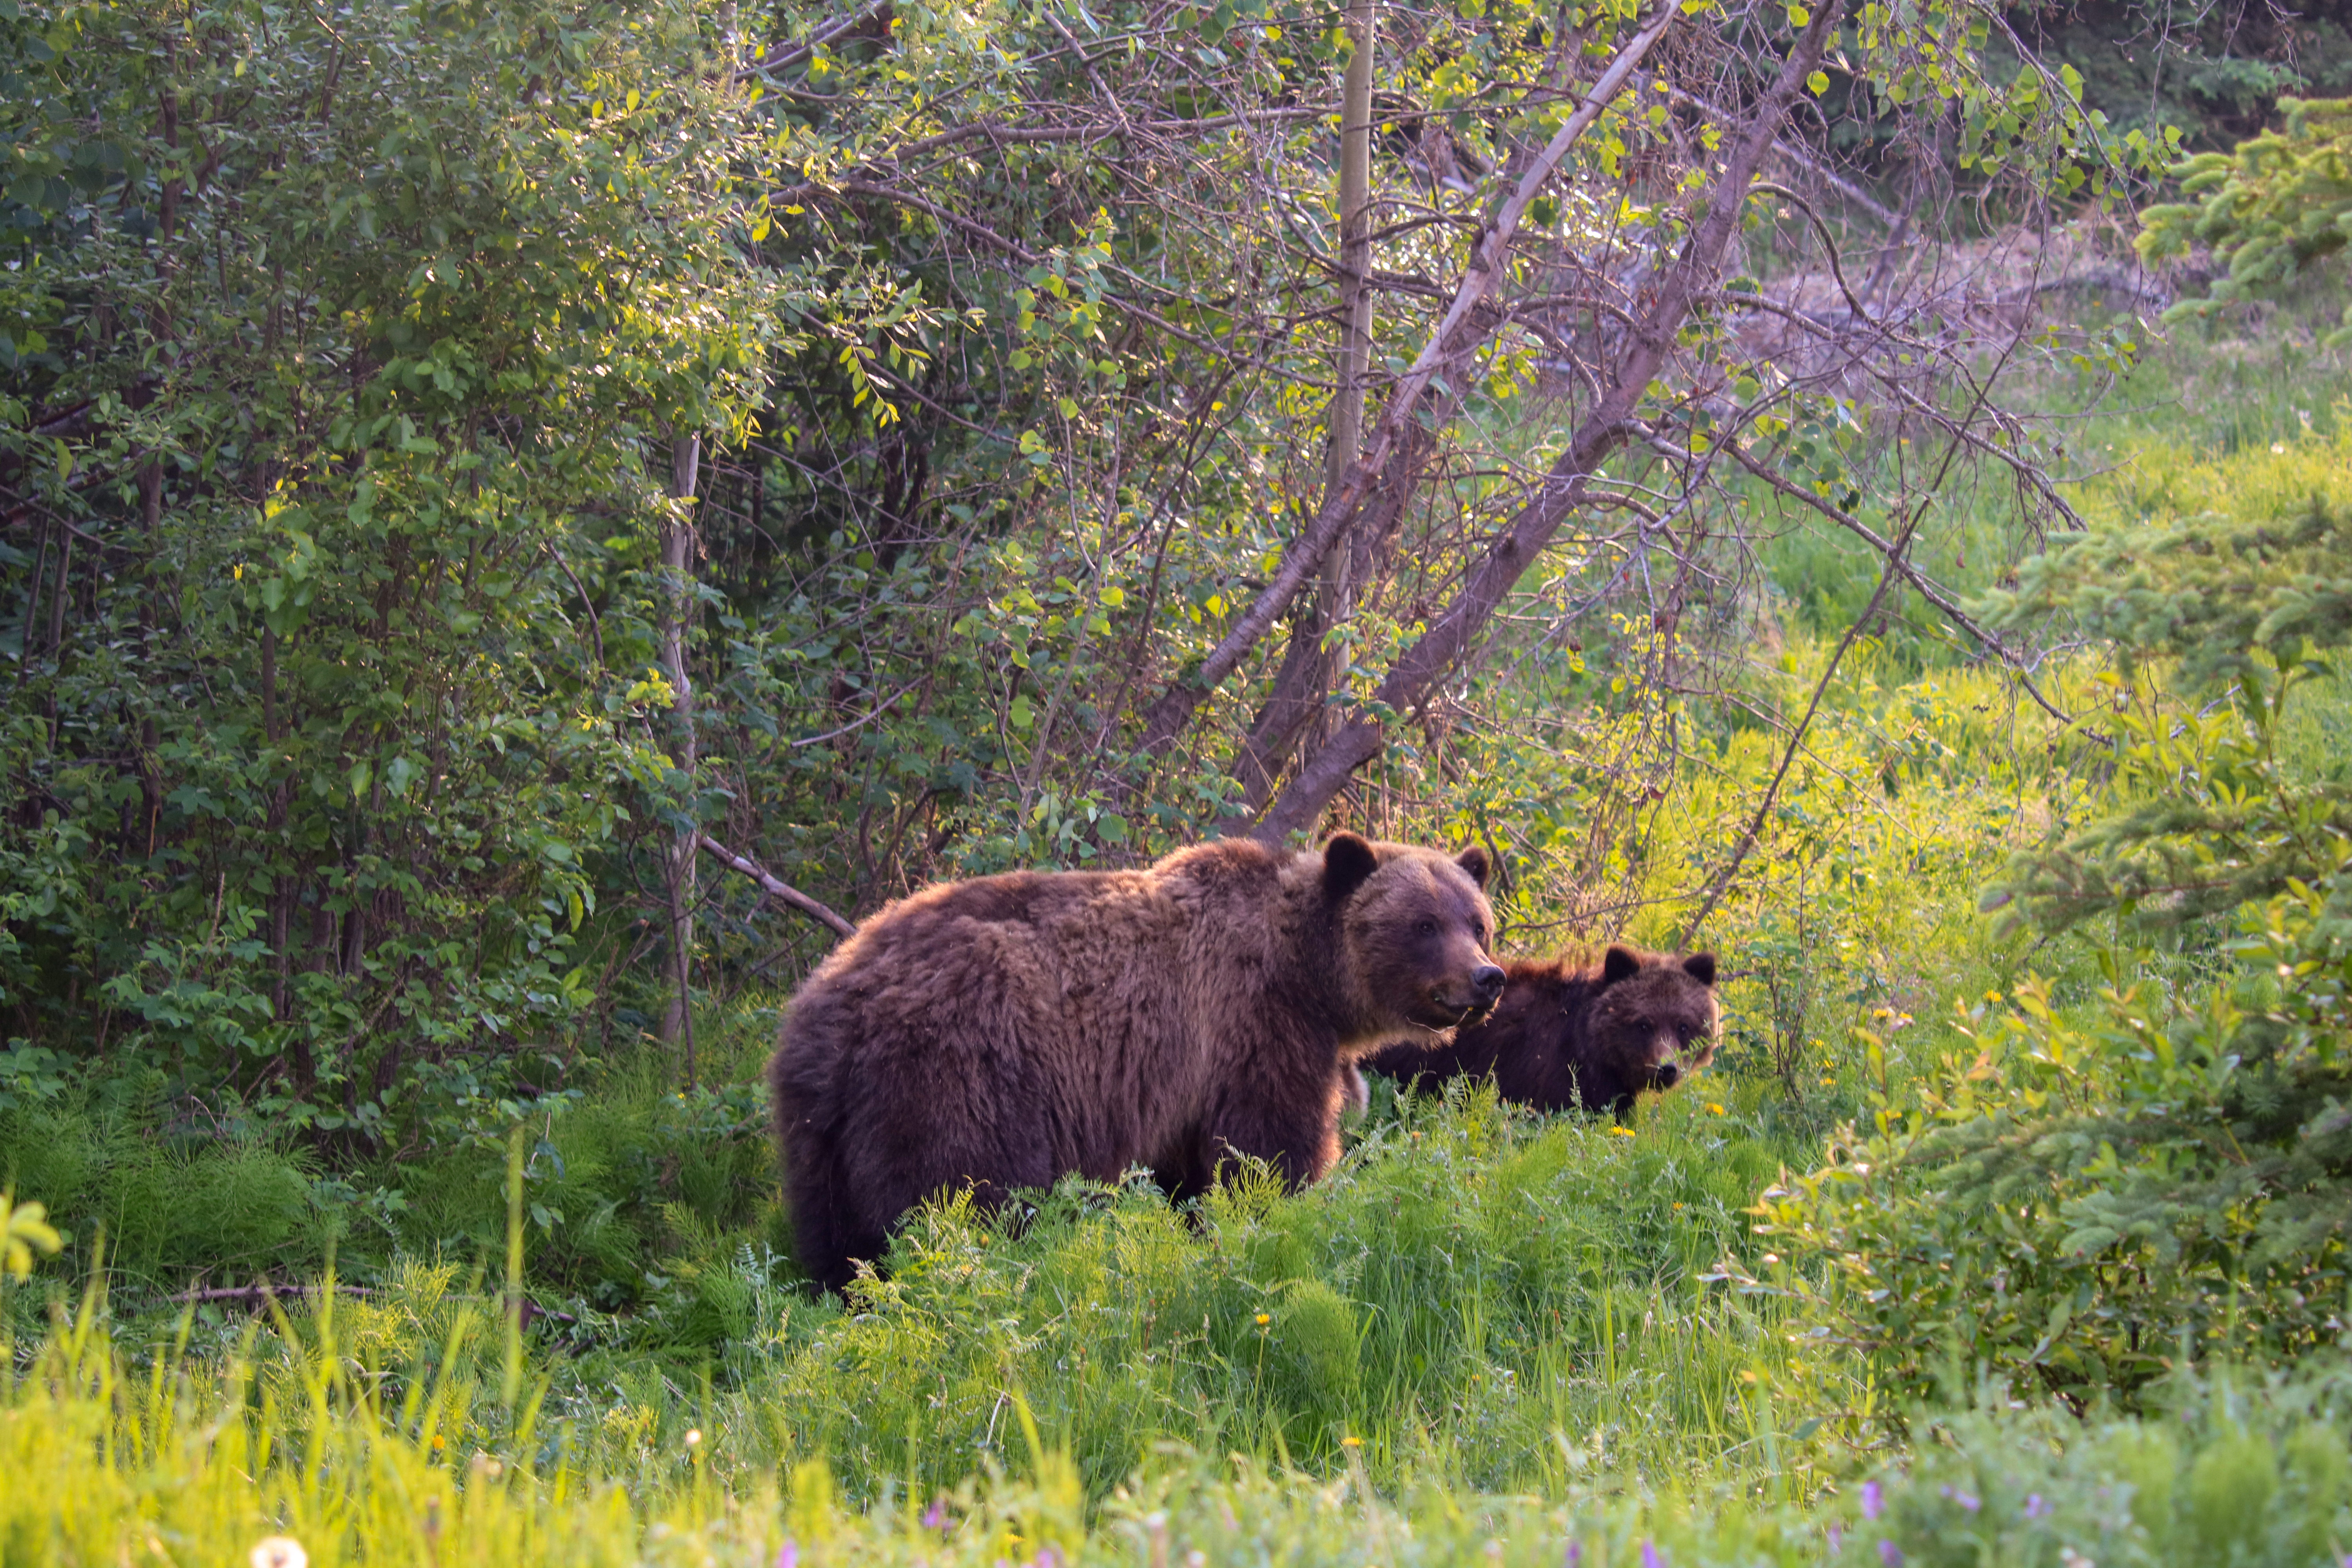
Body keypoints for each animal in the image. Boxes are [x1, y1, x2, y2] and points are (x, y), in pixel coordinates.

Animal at [768, 831, 1506, 1291]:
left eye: (1477, 922)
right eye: (1423, 924)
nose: (1487, 979)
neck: (1309, 978)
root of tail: (834, 1009)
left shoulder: (1189, 1088)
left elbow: (1195, 1175)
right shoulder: (1252, 1031)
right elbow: (1267, 1154)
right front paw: (1288, 1219)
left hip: (820, 1131)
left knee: (835, 1237)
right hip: (956, 1079)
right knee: (960, 1201)